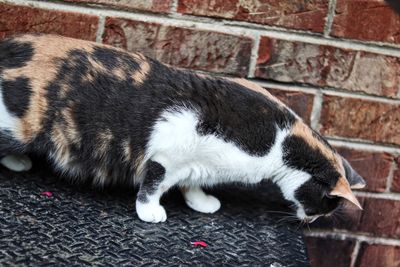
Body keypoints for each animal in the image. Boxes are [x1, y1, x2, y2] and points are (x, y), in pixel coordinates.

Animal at [0, 34, 366, 225]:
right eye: (327, 205)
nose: (312, 220)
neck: (281, 142)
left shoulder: (198, 163)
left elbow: (192, 184)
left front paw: (201, 202)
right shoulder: (167, 153)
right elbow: (153, 185)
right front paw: (150, 212)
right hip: (18, 125)